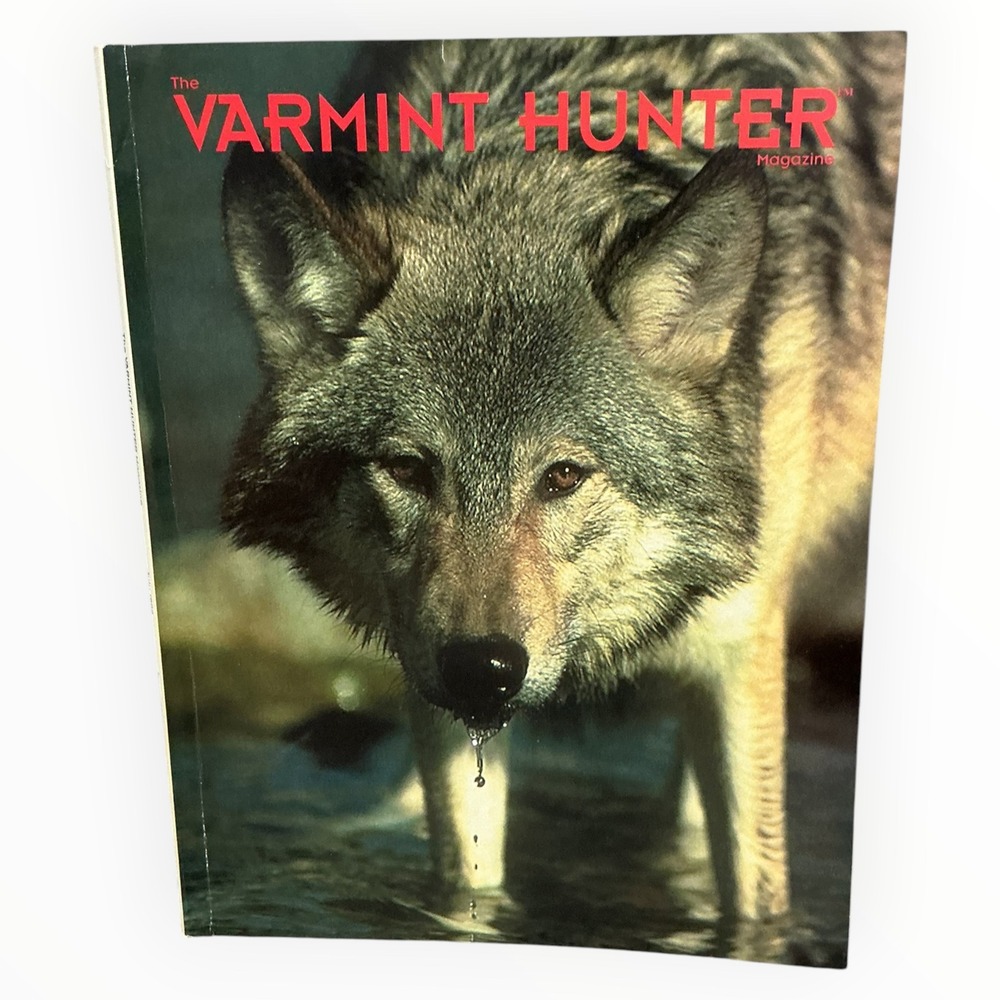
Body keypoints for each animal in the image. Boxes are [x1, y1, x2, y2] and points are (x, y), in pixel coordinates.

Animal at [218, 33, 904, 920]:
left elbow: (757, 899)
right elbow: (466, 883)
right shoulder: (434, 683)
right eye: (408, 468)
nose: (483, 667)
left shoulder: (737, 648)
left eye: (564, 476)